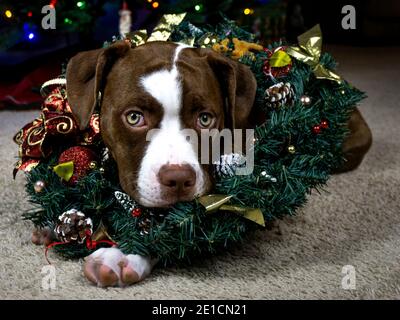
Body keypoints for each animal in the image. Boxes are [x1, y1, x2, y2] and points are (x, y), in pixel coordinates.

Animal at [33, 40, 372, 288]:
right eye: (134, 117)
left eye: (206, 119)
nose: (178, 179)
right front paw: (61, 220)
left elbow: (176, 229)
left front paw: (124, 255)